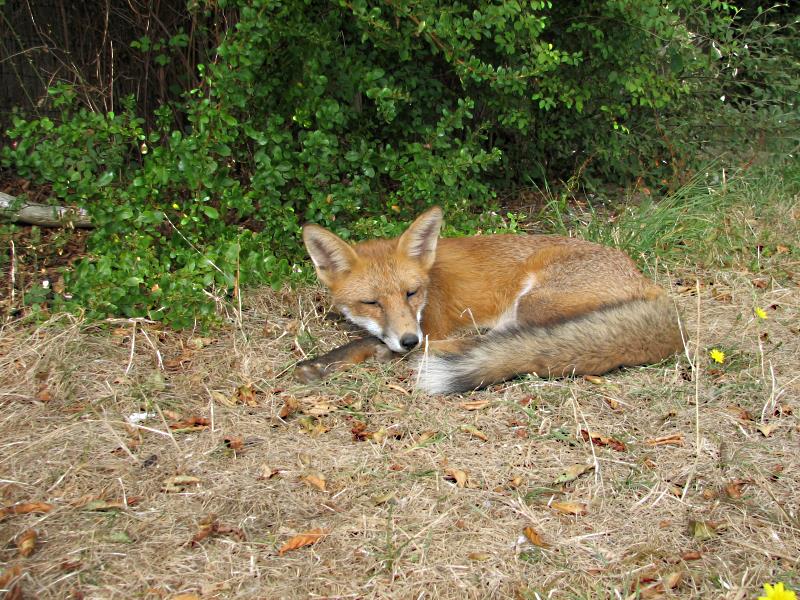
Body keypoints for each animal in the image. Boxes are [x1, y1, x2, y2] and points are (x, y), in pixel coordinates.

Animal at [294, 206, 680, 394]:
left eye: (411, 293)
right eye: (371, 302)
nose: (408, 340)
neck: (431, 283)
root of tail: (651, 285)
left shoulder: (432, 326)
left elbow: (365, 341)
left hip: (534, 303)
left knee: (497, 342)